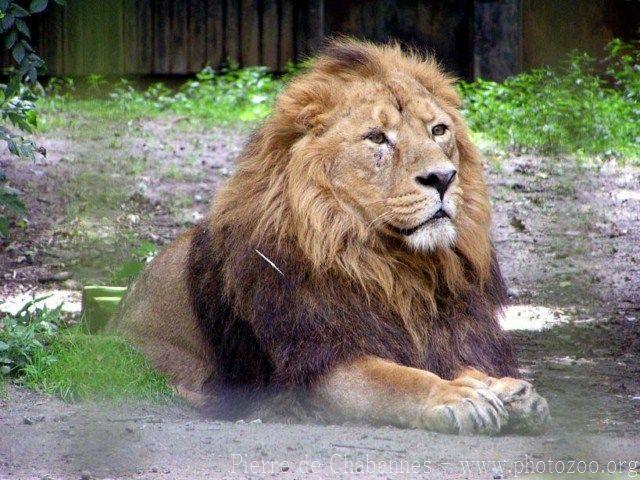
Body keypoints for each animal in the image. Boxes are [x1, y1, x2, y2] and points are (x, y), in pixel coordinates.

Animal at [110, 38, 552, 436]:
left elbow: (458, 364)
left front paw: (506, 389)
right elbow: (398, 379)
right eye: (377, 137)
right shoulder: (319, 361)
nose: (443, 177)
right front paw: (455, 396)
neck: (393, 268)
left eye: (439, 130)